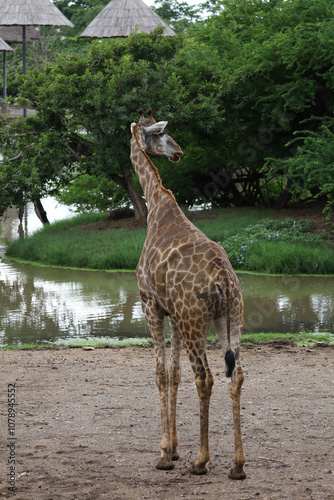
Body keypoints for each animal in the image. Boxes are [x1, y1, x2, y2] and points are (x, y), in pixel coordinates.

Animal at [130, 109, 245, 480]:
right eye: (163, 135)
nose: (178, 152)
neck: (156, 204)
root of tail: (224, 279)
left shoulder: (150, 305)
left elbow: (161, 373)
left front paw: (165, 453)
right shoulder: (173, 314)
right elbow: (175, 373)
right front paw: (174, 447)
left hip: (196, 320)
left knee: (205, 377)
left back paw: (201, 461)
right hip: (230, 317)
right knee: (236, 375)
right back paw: (237, 465)